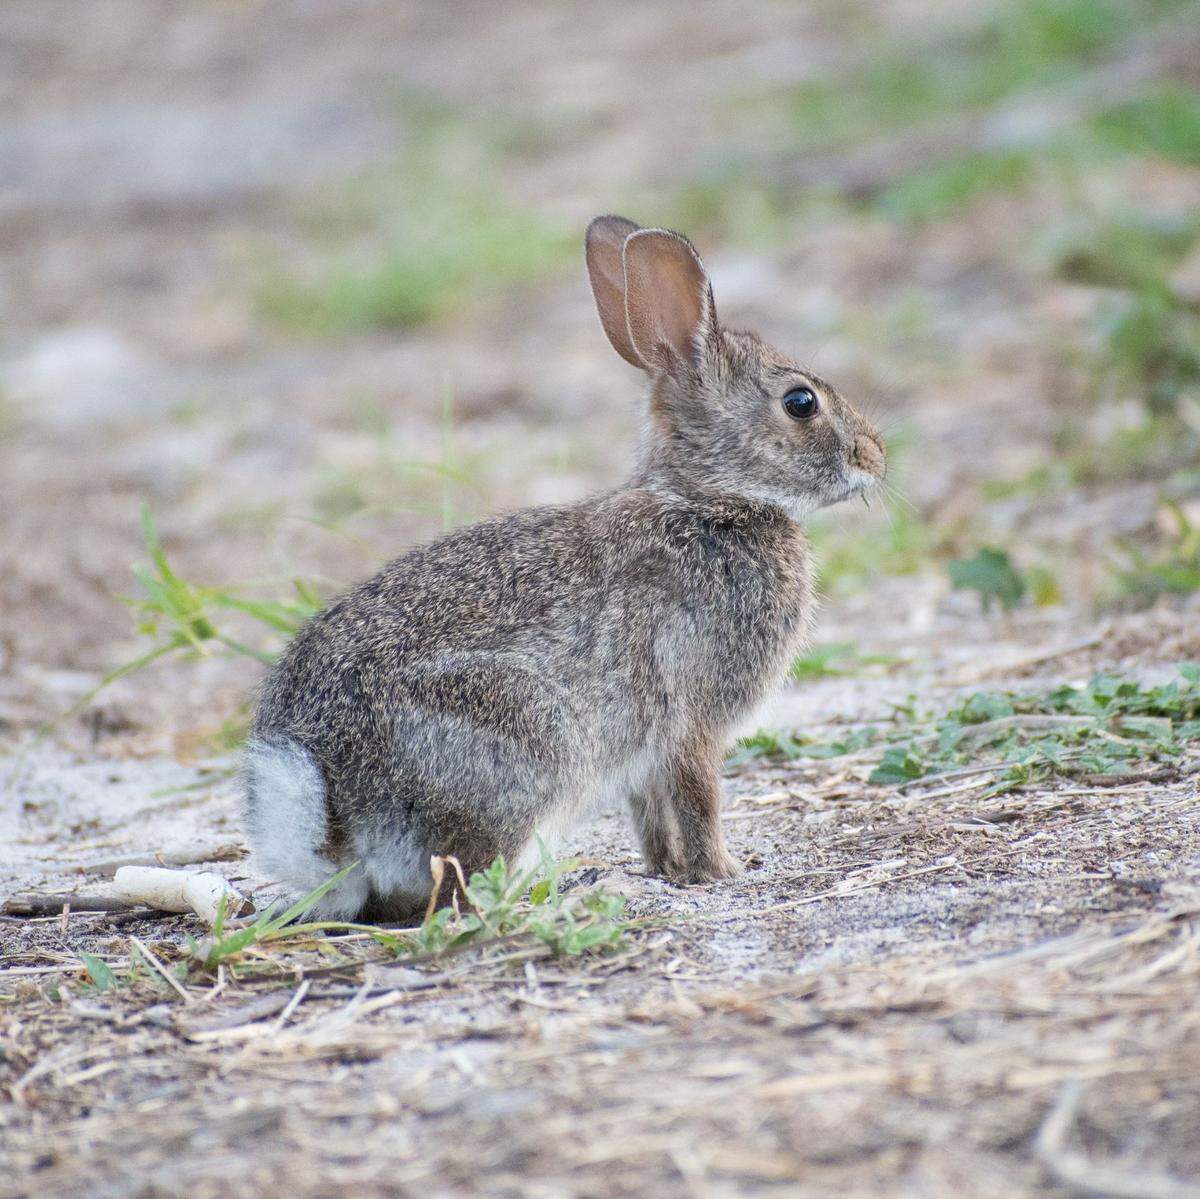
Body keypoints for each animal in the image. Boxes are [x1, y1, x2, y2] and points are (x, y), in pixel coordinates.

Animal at [243, 214, 886, 920]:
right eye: (801, 402)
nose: (875, 455)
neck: (708, 500)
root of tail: (333, 823)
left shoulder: (644, 752)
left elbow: (650, 813)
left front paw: (668, 870)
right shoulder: (693, 723)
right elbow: (699, 801)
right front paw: (723, 871)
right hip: (527, 737)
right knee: (455, 888)